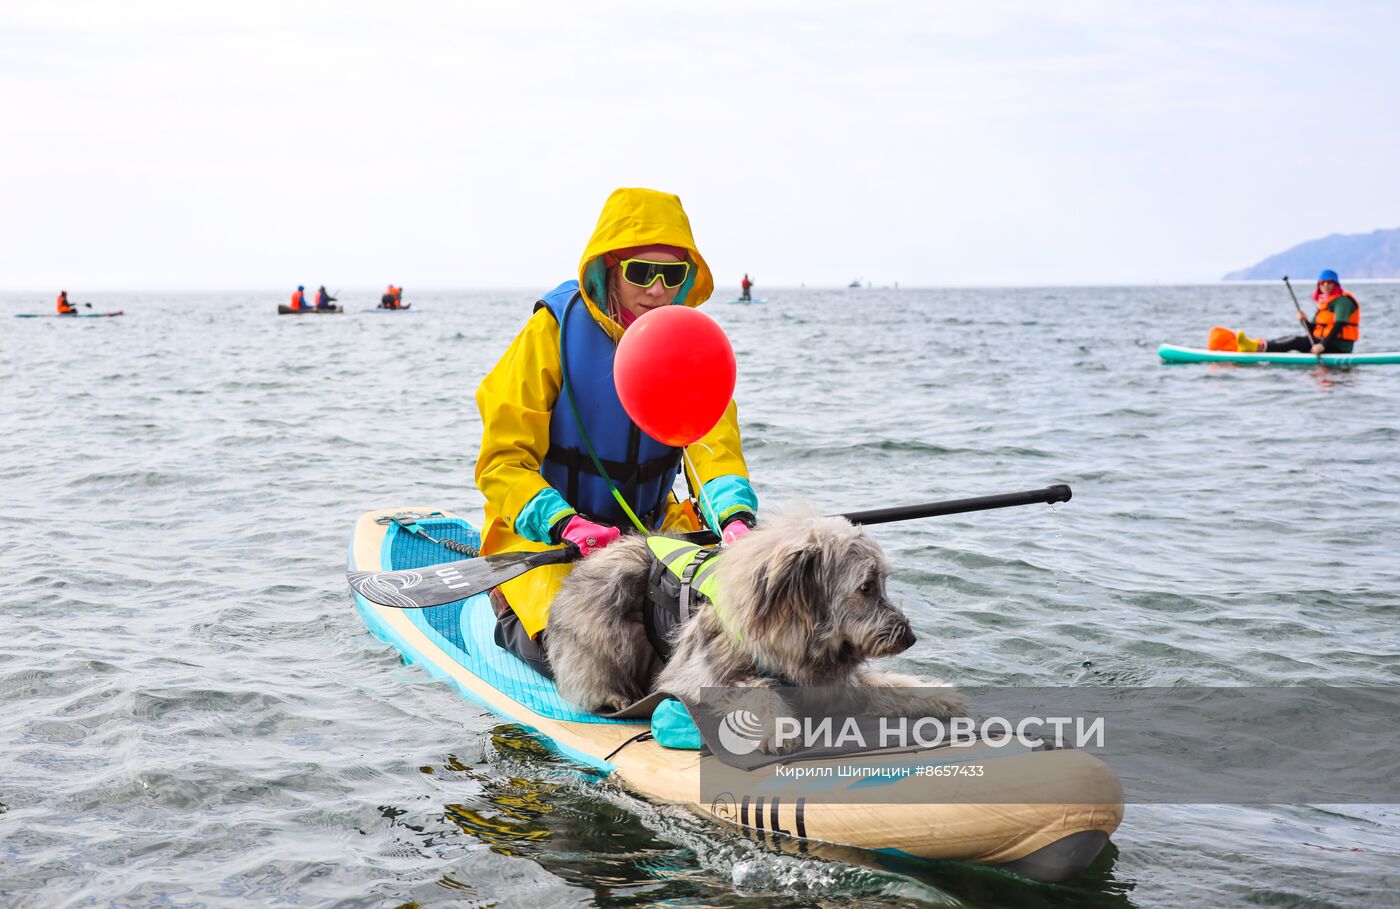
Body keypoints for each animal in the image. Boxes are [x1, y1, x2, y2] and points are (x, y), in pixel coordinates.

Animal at [543, 509, 963, 722]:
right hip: (607, 636)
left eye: (883, 583)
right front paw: (779, 726)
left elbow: (889, 684)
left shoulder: (835, 685)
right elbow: (753, 688)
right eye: (865, 587)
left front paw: (938, 697)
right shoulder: (697, 672)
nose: (909, 637)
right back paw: (615, 698)